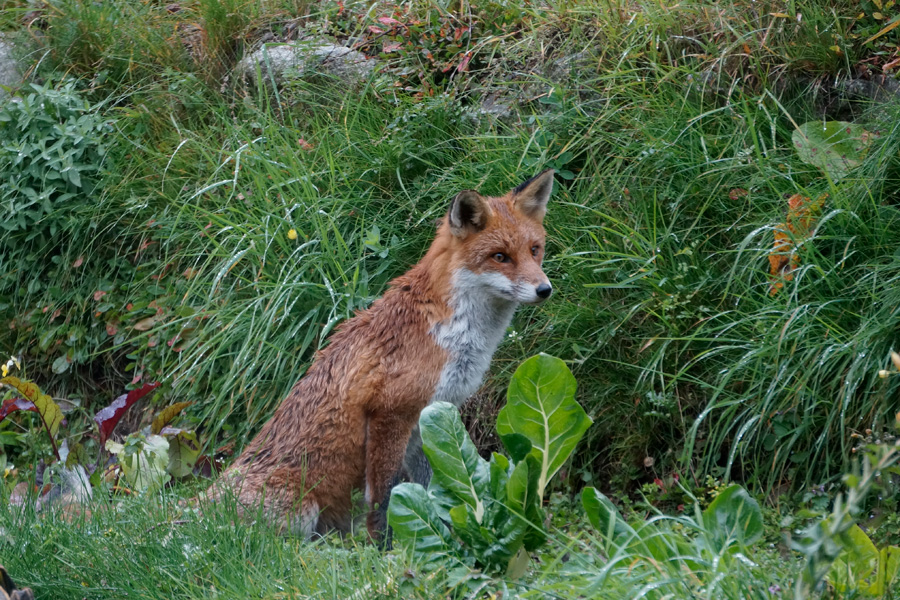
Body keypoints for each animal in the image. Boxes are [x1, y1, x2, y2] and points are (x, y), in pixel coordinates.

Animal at [207, 169, 555, 541]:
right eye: (500, 256)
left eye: (535, 250)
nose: (544, 289)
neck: (452, 334)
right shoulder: (390, 414)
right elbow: (383, 498)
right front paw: (384, 546)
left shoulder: (431, 416)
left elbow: (436, 486)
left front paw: (447, 533)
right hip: (298, 511)